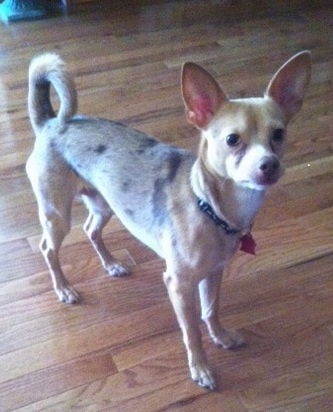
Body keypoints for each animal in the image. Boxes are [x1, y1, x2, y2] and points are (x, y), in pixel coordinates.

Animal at [26, 51, 312, 390]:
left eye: (279, 134)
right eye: (232, 140)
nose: (269, 165)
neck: (212, 208)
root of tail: (50, 123)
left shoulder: (214, 273)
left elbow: (211, 310)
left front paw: (221, 336)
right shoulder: (179, 284)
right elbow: (192, 331)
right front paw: (200, 368)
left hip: (105, 204)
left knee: (90, 230)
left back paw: (111, 264)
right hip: (57, 215)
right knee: (48, 249)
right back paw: (64, 289)